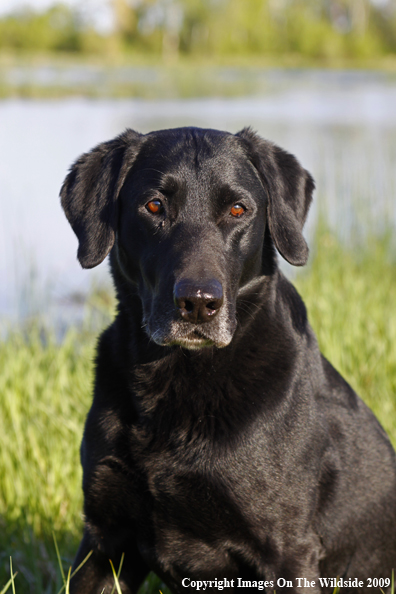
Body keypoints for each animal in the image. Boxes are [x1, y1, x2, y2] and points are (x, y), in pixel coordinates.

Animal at [61, 127, 396, 588]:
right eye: (154, 206)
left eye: (238, 209)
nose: (199, 304)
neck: (179, 378)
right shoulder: (105, 540)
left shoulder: (288, 551)